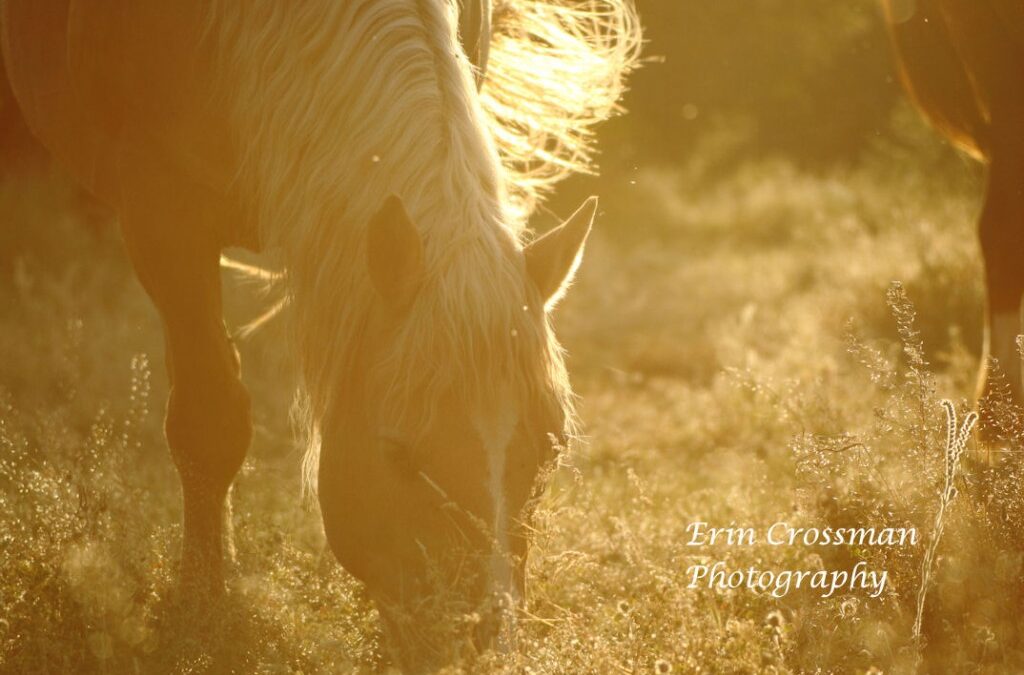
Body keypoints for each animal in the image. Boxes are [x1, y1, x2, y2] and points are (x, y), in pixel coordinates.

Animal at [2, 0, 638, 663]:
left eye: (551, 447)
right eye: (398, 455)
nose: (475, 642)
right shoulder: (162, 215)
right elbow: (208, 424)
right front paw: (203, 606)